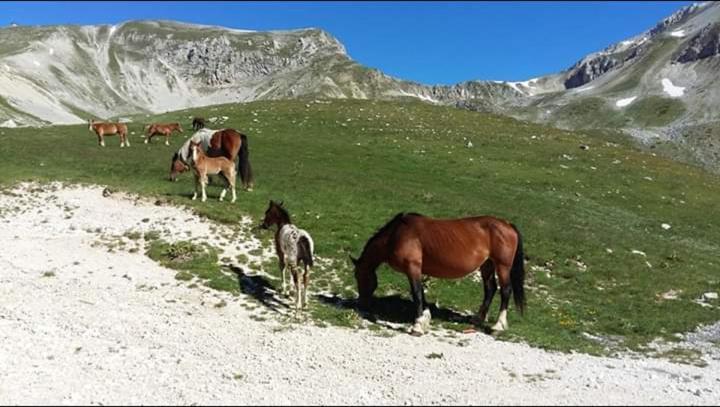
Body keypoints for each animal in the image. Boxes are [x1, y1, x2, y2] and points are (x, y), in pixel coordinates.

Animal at [352, 212, 524, 336]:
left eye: (359, 276)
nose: (362, 302)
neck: (397, 234)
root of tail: (507, 225)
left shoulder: (412, 267)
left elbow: (416, 293)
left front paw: (417, 326)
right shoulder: (417, 270)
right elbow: (421, 292)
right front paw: (425, 318)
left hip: (502, 266)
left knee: (505, 291)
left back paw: (498, 326)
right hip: (487, 265)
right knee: (490, 288)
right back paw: (477, 318)